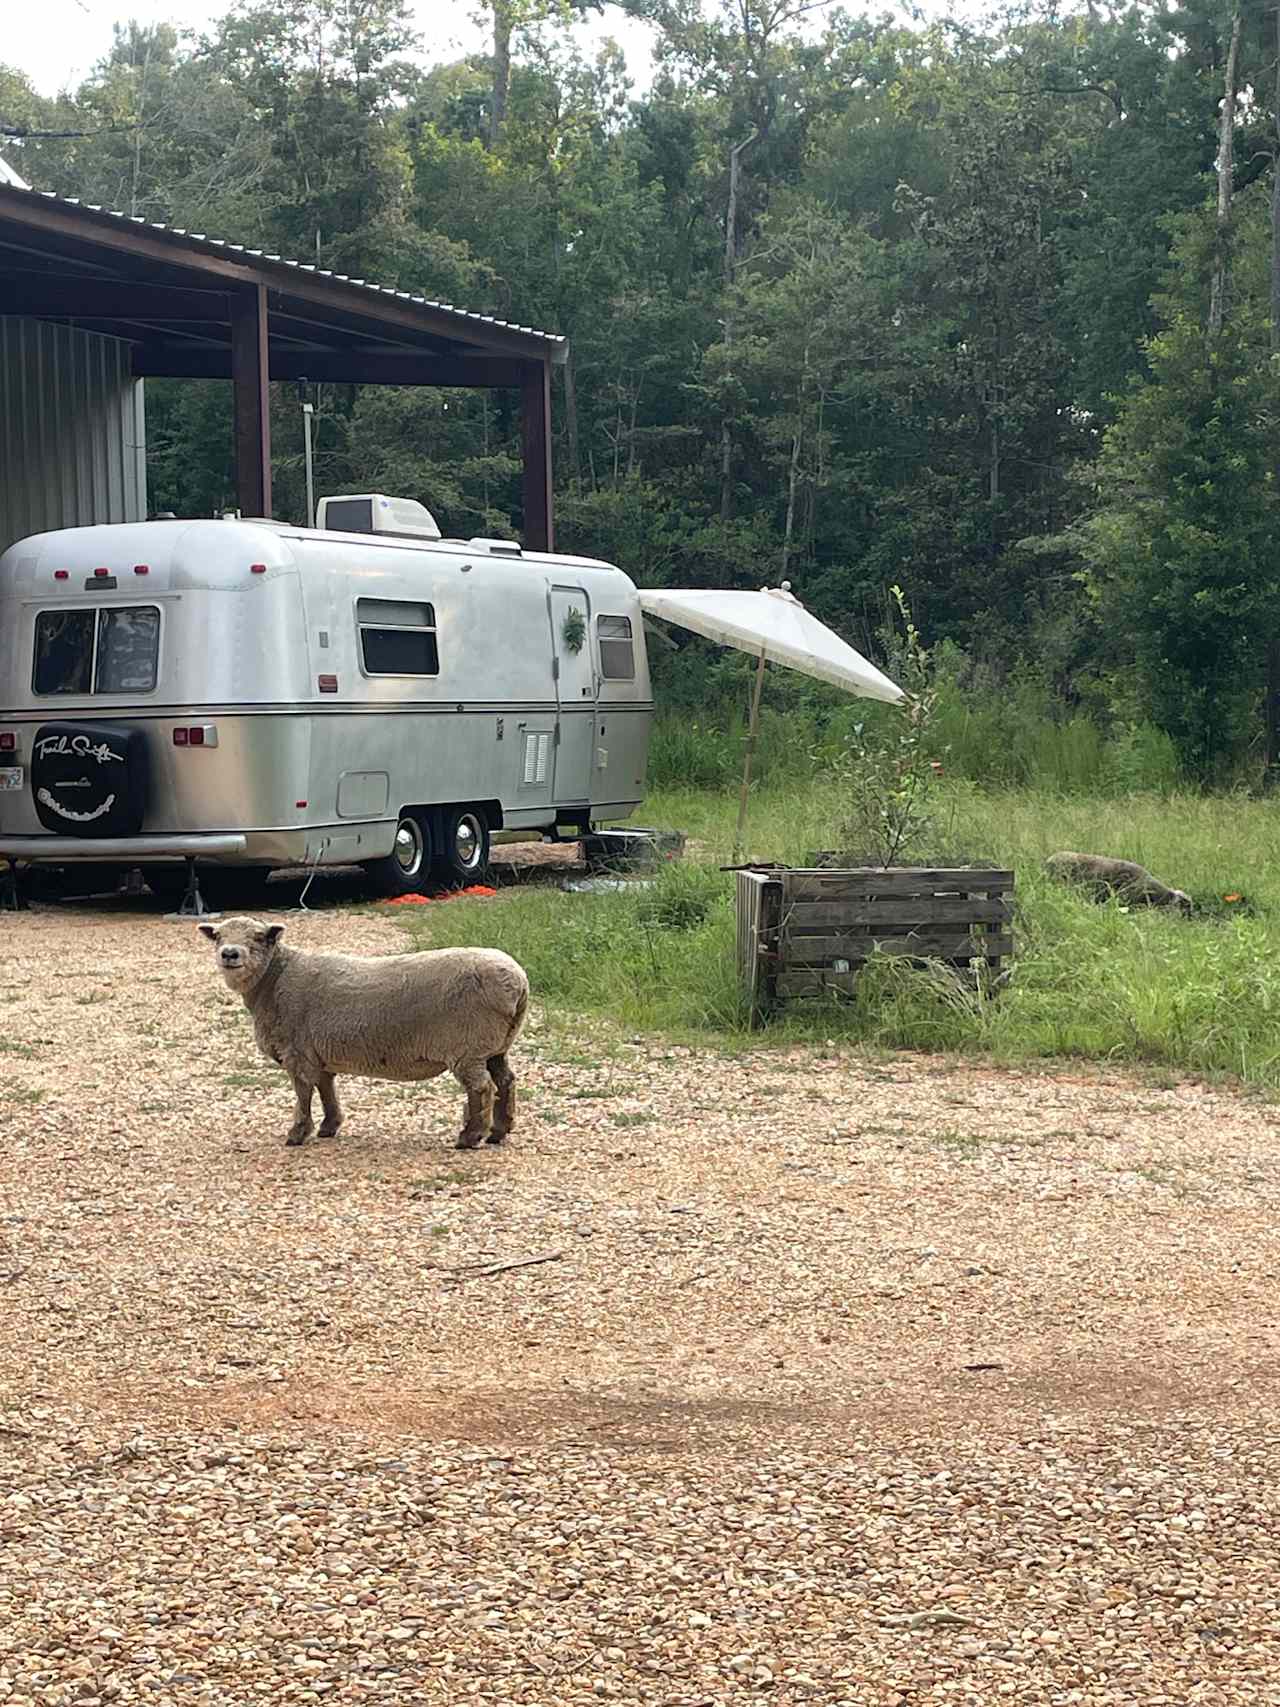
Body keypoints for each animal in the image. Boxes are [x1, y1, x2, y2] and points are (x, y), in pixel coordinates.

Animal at [203, 914, 532, 1153]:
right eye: (218, 936)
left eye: (259, 937)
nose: (229, 954)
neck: (274, 979)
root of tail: (519, 982)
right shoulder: (318, 1052)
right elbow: (325, 1088)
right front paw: (329, 1127)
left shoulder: (297, 1052)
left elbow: (303, 1091)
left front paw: (297, 1133)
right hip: (495, 1046)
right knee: (505, 1081)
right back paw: (499, 1131)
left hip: (468, 1047)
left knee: (482, 1088)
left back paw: (470, 1137)